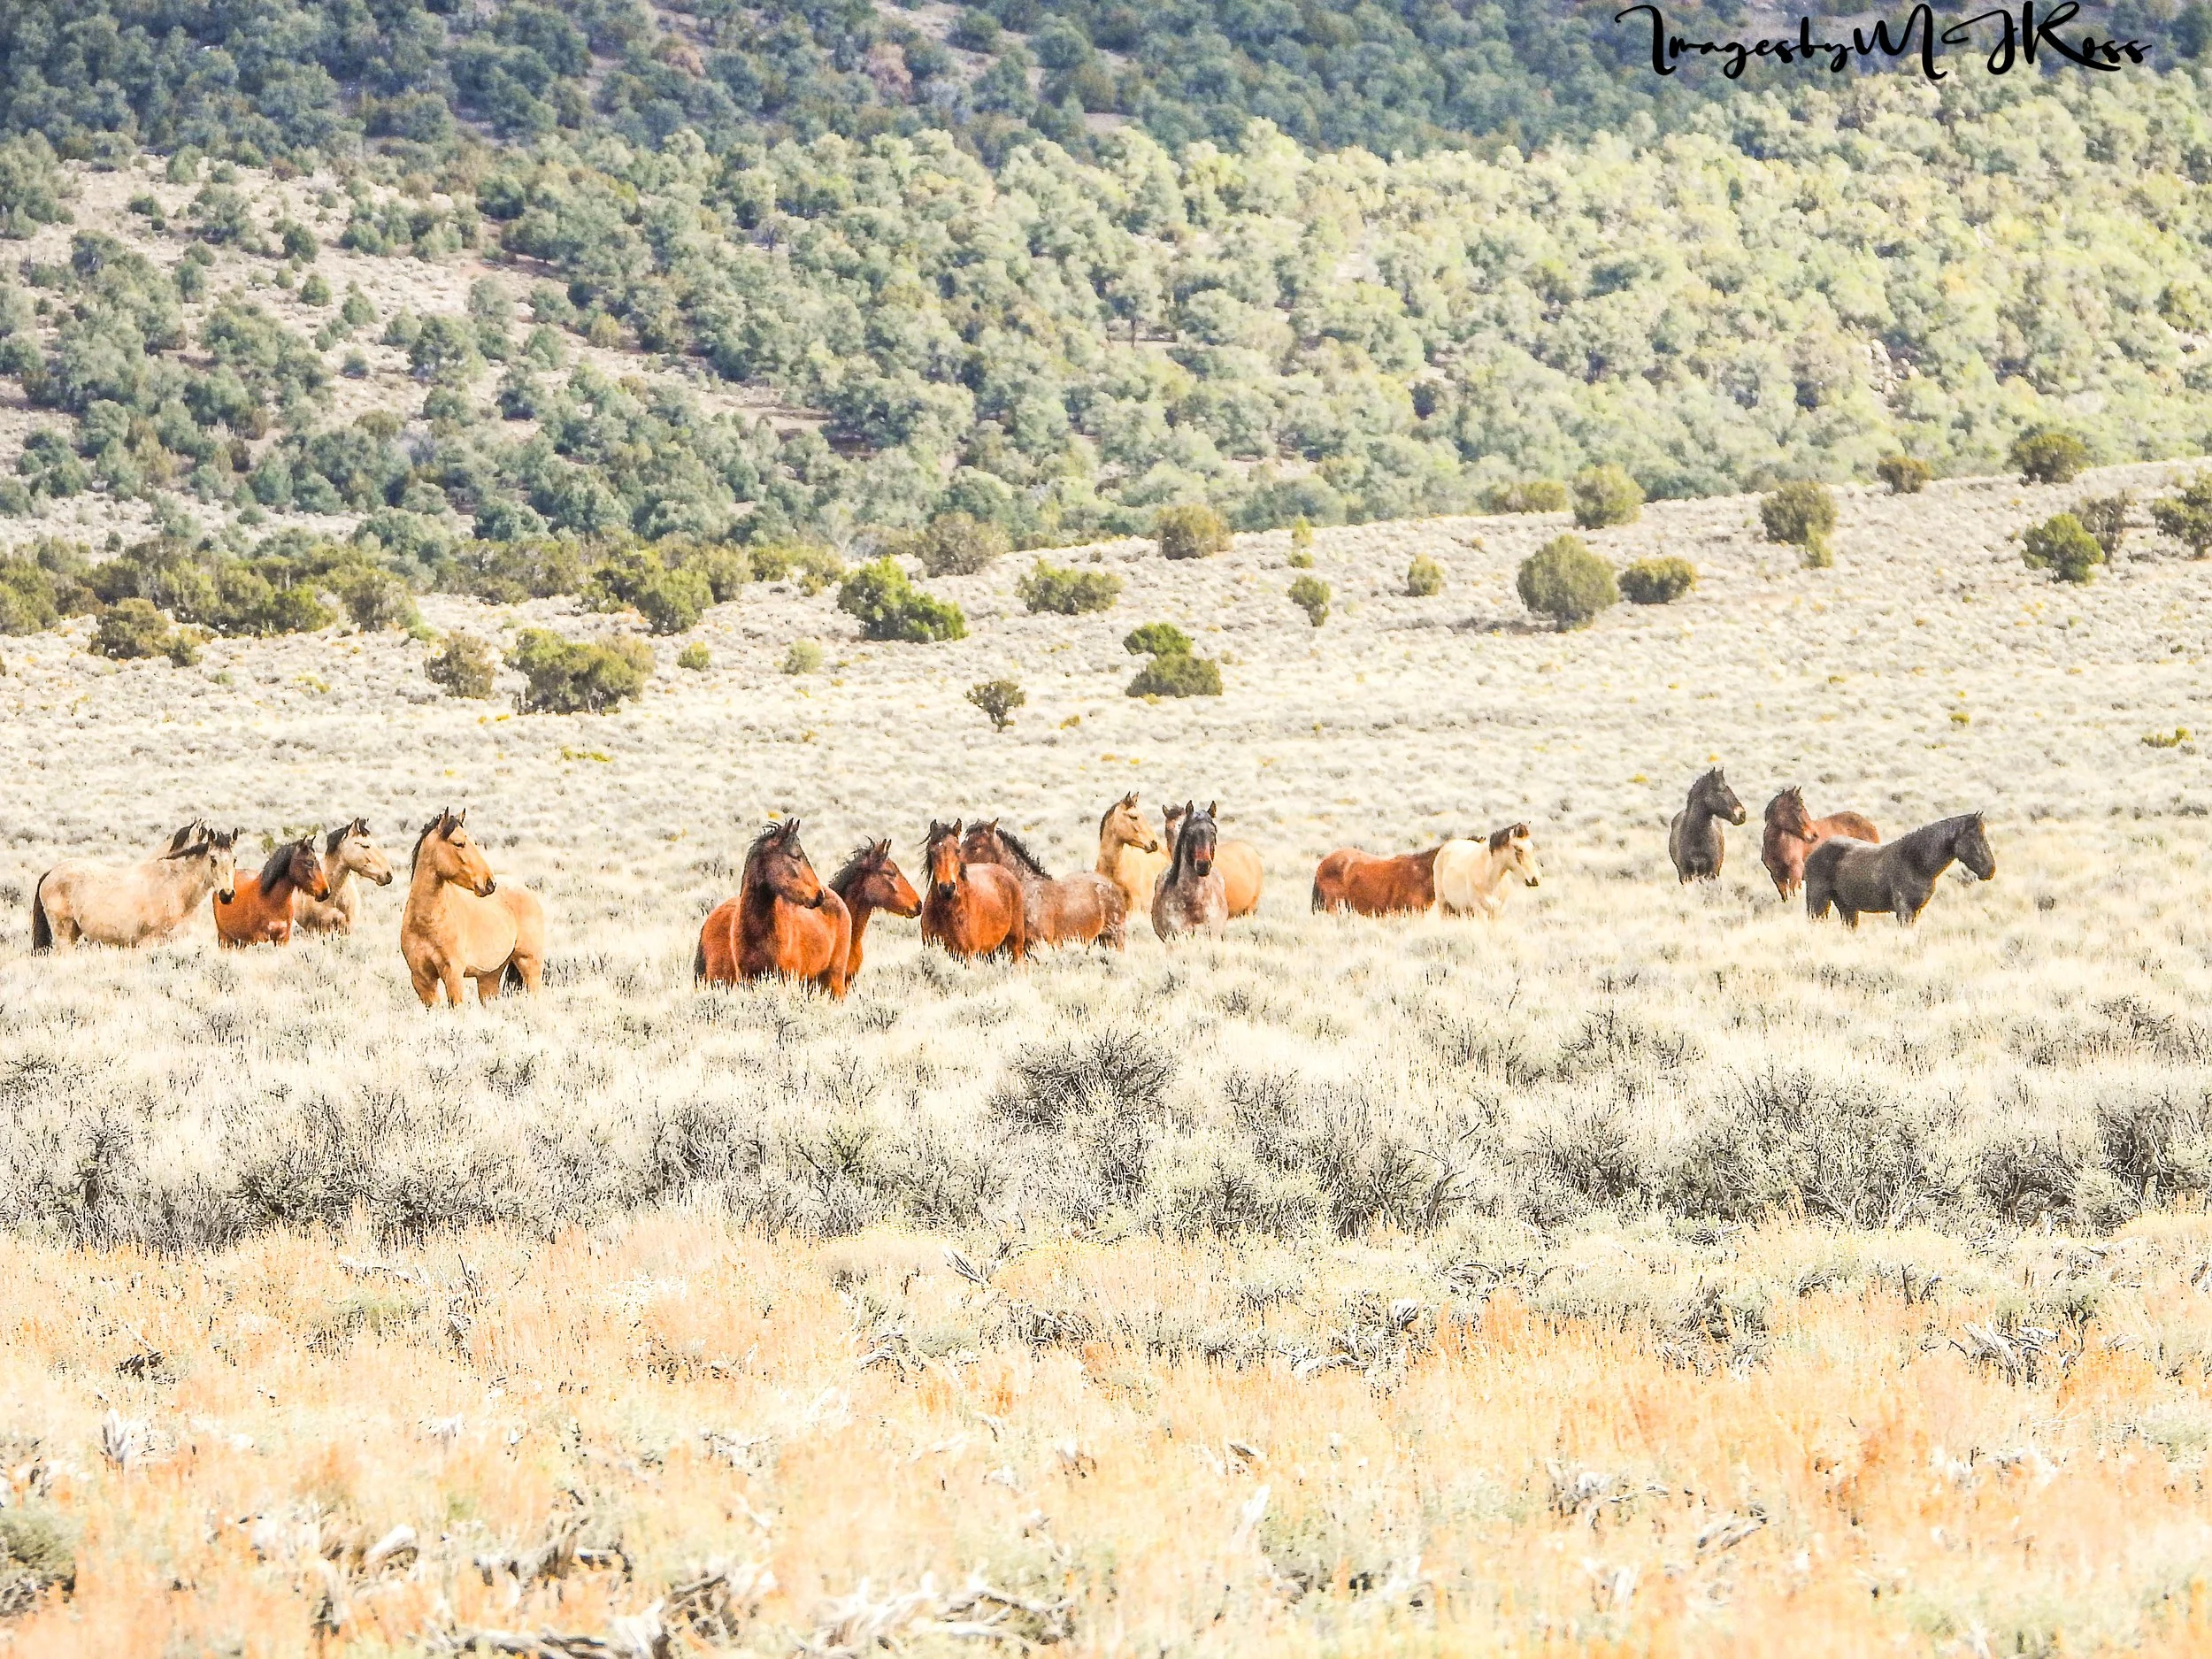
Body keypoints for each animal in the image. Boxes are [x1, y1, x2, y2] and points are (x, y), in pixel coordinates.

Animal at [31, 824, 241, 950]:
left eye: (234, 859)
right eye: (213, 859)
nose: (227, 895)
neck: (172, 885)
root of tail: (51, 872)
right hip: (63, 934)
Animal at [214, 833, 332, 947]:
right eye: (308, 862)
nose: (325, 892)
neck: (272, 901)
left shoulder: (283, 939)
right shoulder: (261, 938)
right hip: (225, 938)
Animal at [400, 808, 546, 1006]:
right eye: (459, 843)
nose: (490, 883)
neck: (426, 923)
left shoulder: (453, 975)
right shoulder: (422, 980)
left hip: (530, 966)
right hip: (490, 976)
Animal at [1760, 787, 1880, 900]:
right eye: (1799, 808)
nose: (1814, 835)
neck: (1779, 846)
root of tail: (1871, 826)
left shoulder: (1795, 873)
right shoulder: (1778, 877)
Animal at [1804, 813, 1995, 929]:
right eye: (1974, 838)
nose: (1990, 869)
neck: (1916, 862)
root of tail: (1813, 854)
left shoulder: (1915, 911)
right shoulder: (1904, 911)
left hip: (1847, 908)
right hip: (1819, 903)